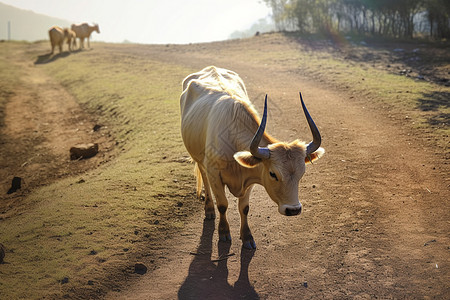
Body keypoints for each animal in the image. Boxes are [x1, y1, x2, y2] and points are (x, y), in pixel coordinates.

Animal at [181, 67, 326, 250]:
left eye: (302, 173)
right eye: (273, 174)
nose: (293, 210)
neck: (232, 137)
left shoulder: (249, 178)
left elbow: (244, 208)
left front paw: (247, 237)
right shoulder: (215, 174)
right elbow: (223, 205)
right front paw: (224, 232)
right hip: (199, 159)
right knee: (204, 179)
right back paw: (209, 209)